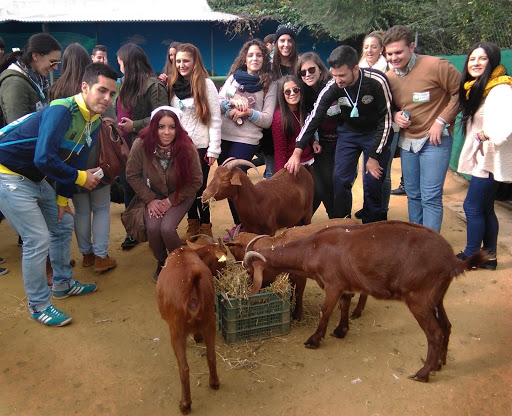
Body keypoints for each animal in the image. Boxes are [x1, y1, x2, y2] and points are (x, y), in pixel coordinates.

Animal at [156, 247, 220, 412]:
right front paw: (197, 337)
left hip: (176, 332)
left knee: (184, 369)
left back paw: (185, 405)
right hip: (209, 322)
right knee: (211, 356)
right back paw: (214, 382)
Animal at [242, 223, 490, 382]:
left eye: (250, 271)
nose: (247, 290)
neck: (312, 249)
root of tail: (452, 261)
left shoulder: (332, 284)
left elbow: (325, 310)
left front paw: (314, 340)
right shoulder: (344, 286)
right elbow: (343, 306)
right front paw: (341, 331)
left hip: (419, 299)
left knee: (435, 333)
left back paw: (422, 374)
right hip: (436, 297)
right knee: (446, 326)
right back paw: (440, 363)